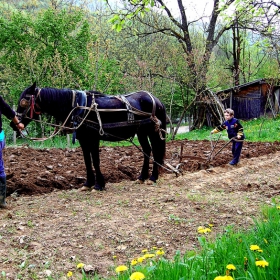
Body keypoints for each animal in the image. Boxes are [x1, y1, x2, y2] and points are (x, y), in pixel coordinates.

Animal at [12, 81, 166, 190]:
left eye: (24, 102)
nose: (13, 124)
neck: (78, 107)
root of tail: (156, 100)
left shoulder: (93, 138)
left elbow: (95, 160)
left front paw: (99, 185)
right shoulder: (83, 140)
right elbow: (87, 161)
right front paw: (88, 183)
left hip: (152, 131)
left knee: (156, 151)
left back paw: (153, 177)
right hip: (141, 132)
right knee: (147, 151)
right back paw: (142, 177)